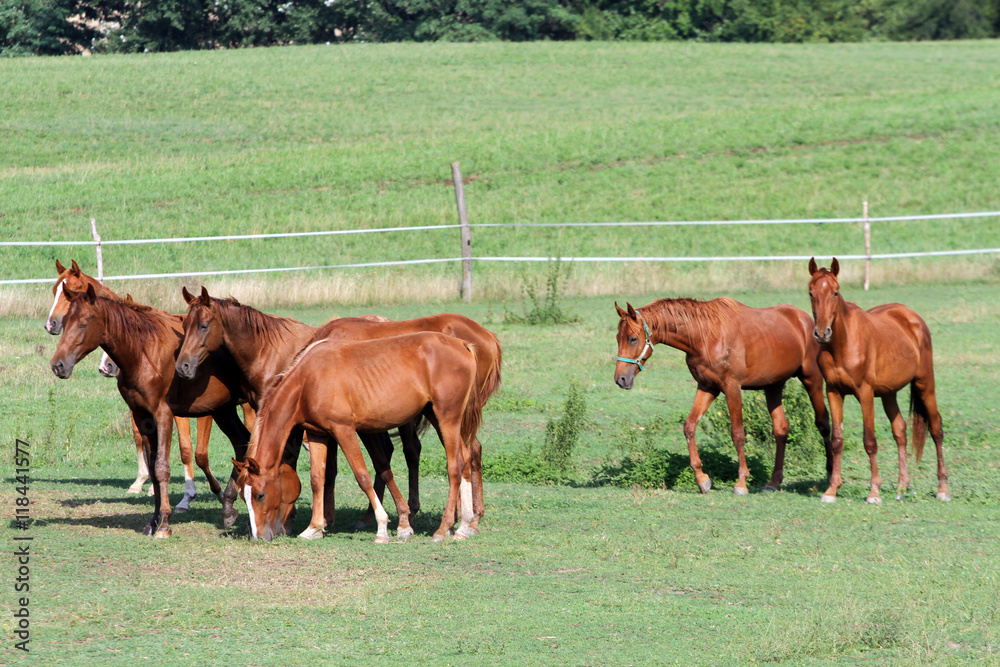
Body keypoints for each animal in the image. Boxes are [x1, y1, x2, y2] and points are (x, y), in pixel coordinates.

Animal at [49, 283, 252, 537]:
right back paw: (229, 508)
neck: (144, 352)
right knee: (242, 441)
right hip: (223, 410)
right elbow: (153, 470)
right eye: (66, 322)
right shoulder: (143, 417)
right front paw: (153, 521)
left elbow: (162, 467)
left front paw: (164, 524)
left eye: (84, 324)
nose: (58, 365)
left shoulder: (163, 414)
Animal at [236, 332, 482, 543]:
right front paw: (313, 528)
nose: (258, 537)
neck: (307, 380)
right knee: (466, 459)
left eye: (259, 495)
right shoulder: (317, 434)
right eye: (243, 497)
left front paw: (382, 528)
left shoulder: (344, 430)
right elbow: (317, 479)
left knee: (455, 465)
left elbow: (362, 476)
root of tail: (462, 344)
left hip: (447, 418)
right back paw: (463, 527)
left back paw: (444, 528)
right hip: (437, 416)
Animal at [614, 298, 832, 494]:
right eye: (618, 338)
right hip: (773, 386)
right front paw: (702, 480)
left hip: (812, 379)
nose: (620, 379)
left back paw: (830, 475)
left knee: (823, 423)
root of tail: (805, 320)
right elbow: (689, 426)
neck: (705, 336)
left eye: (632, 338)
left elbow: (738, 434)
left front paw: (741, 483)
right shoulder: (707, 387)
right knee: (781, 429)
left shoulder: (732, 388)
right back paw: (773, 481)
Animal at [807, 258, 950, 503]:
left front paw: (873, 492)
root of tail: (912, 318)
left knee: (936, 428)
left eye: (835, 292)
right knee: (900, 430)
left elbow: (870, 441)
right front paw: (831, 490)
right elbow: (837, 440)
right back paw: (902, 486)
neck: (843, 343)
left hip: (924, 384)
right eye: (810, 293)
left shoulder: (864, 393)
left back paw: (942, 488)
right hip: (888, 393)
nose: (822, 333)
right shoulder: (833, 392)